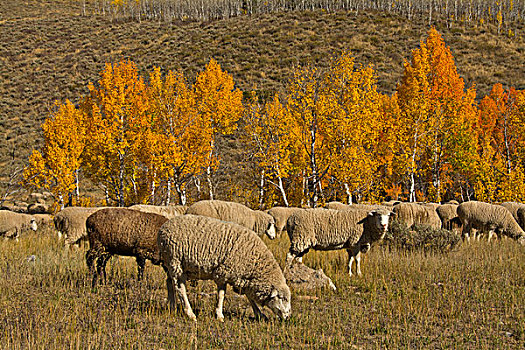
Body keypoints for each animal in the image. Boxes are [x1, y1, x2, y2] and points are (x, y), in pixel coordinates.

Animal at [158, 215, 292, 322]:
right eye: (283, 298)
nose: (288, 317)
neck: (255, 263)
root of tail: (163, 228)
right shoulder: (223, 273)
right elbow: (221, 295)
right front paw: (219, 315)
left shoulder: (242, 278)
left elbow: (249, 297)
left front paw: (259, 314)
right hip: (176, 262)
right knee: (180, 288)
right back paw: (190, 313)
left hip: (172, 264)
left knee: (169, 283)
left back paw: (172, 307)